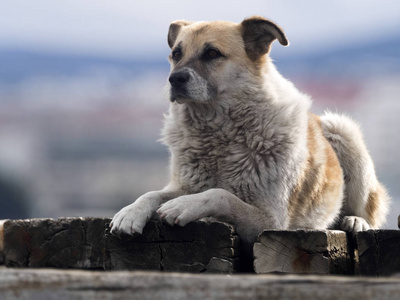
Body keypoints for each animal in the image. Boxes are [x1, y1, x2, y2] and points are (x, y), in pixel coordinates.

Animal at [108, 16, 388, 251]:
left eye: (212, 53)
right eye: (176, 54)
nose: (174, 79)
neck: (218, 133)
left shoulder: (271, 221)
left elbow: (220, 195)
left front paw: (183, 205)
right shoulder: (186, 184)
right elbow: (154, 193)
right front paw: (130, 212)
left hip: (342, 129)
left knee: (370, 211)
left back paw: (356, 221)